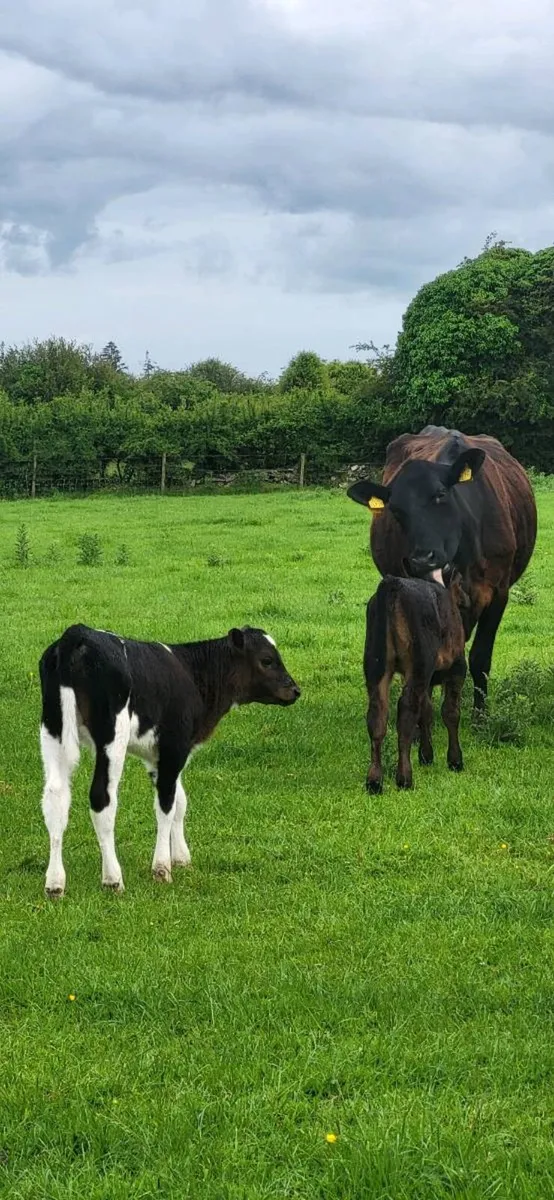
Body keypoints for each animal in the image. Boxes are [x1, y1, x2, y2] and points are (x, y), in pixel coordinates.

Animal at [39, 623, 300, 897]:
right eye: (267, 660)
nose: (295, 691)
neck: (193, 673)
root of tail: (77, 634)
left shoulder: (156, 757)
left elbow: (180, 800)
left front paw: (181, 857)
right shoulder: (175, 748)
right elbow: (166, 805)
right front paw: (162, 867)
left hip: (52, 729)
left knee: (55, 796)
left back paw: (55, 883)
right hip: (113, 737)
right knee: (102, 799)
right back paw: (112, 878)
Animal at [348, 427, 537, 711]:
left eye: (440, 495)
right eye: (396, 510)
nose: (421, 559)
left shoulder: (498, 592)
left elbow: (480, 658)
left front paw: (480, 716)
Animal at [364, 570, 469, 793]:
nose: (467, 599)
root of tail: (393, 584)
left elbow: (426, 712)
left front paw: (426, 755)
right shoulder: (457, 668)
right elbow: (450, 712)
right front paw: (454, 760)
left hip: (376, 665)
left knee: (378, 714)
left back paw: (374, 780)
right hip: (420, 663)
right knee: (406, 709)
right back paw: (404, 777)